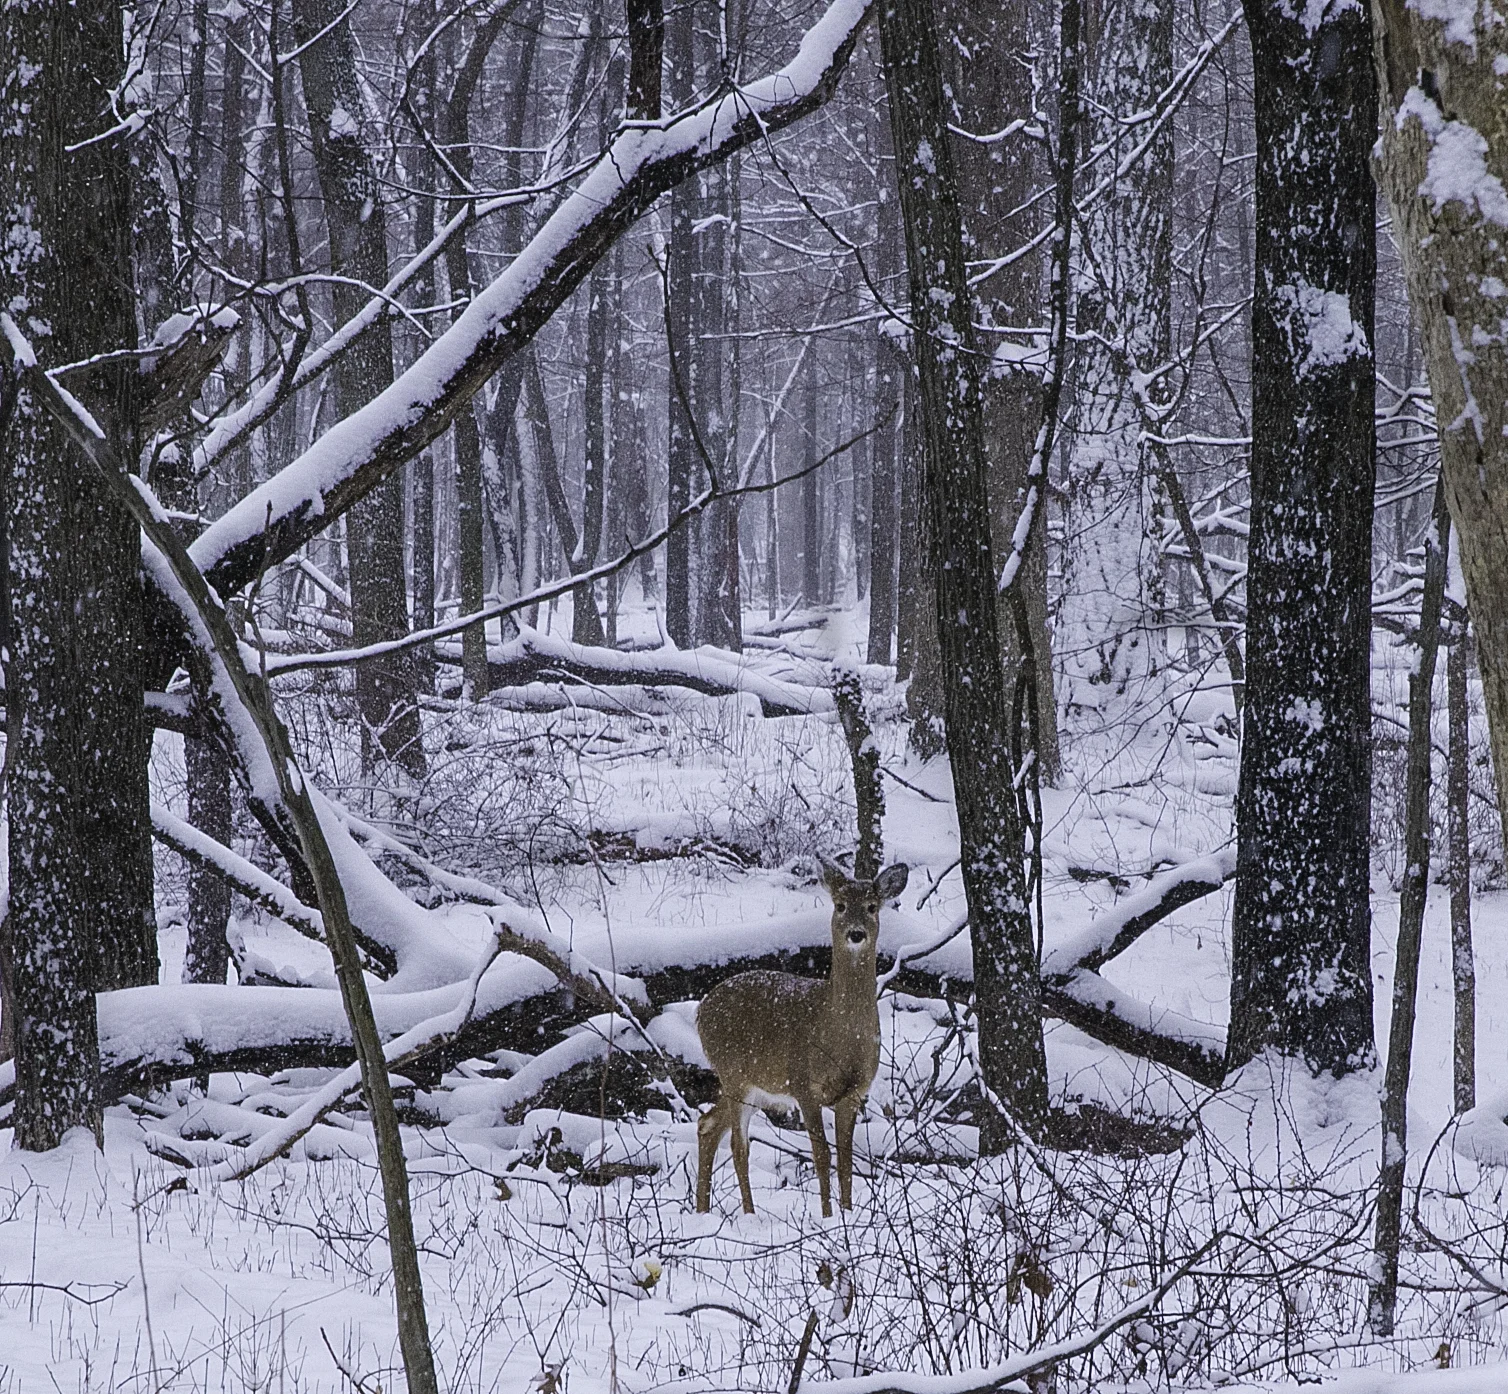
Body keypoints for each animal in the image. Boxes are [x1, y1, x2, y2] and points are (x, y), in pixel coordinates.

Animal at [695, 858, 910, 1217]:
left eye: (872, 906)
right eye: (840, 905)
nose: (856, 933)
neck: (838, 1034)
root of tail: (700, 1011)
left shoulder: (854, 1093)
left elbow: (846, 1160)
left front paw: (847, 1213)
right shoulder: (804, 1085)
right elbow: (822, 1155)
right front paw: (828, 1216)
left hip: (755, 1086)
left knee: (707, 1124)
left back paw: (702, 1210)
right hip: (734, 1074)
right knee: (739, 1145)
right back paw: (749, 1214)